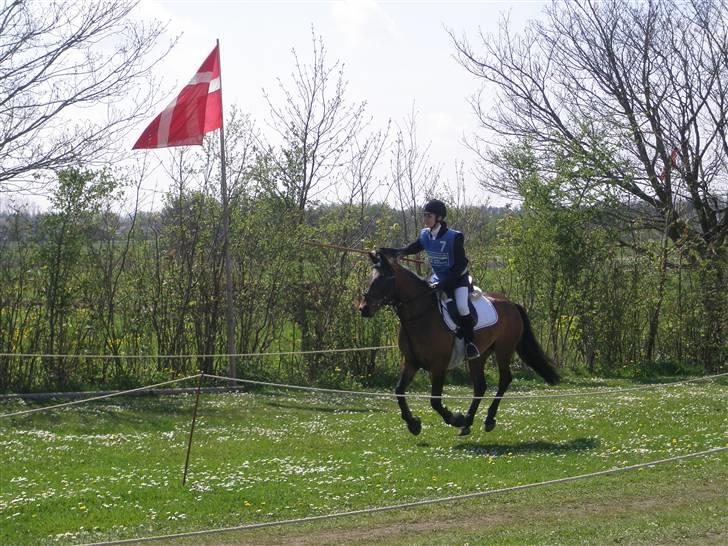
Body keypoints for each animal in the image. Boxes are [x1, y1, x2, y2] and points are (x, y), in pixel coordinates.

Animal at [356, 250, 556, 434]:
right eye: (370, 278)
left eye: (382, 280)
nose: (364, 309)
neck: (420, 316)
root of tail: (511, 303)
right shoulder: (411, 362)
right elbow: (399, 391)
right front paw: (413, 424)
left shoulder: (438, 365)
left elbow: (435, 400)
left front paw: (454, 419)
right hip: (479, 355)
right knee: (480, 386)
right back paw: (468, 423)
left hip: (504, 350)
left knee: (504, 380)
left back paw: (487, 419)